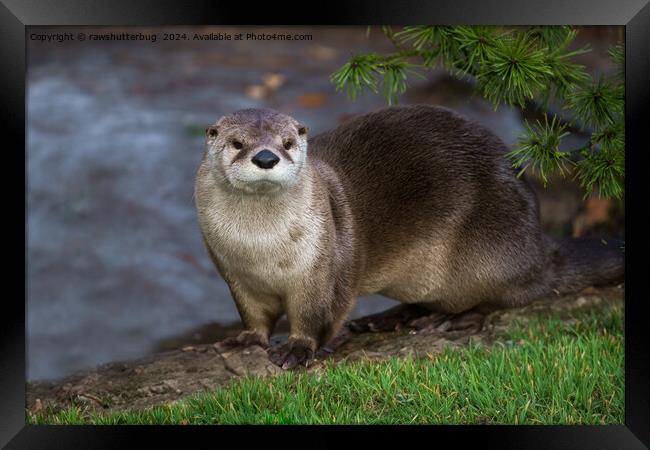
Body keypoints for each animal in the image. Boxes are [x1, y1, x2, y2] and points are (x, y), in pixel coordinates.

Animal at [194, 105, 624, 370]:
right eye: (237, 143)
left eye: (287, 143)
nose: (266, 157)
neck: (260, 250)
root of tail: (539, 247)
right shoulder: (234, 274)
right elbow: (254, 315)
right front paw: (245, 340)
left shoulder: (322, 270)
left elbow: (319, 315)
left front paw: (299, 349)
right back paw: (390, 318)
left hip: (489, 253)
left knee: (503, 299)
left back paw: (452, 320)